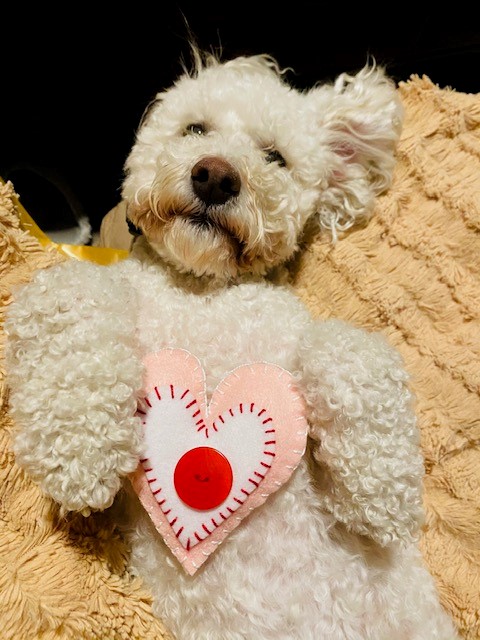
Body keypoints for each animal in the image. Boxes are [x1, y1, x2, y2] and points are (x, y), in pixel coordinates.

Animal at [5, 47, 460, 636]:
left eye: (275, 157)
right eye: (195, 128)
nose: (216, 176)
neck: (205, 291)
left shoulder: (302, 332)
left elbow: (350, 348)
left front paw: (382, 490)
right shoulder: (88, 293)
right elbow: (68, 293)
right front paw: (80, 453)